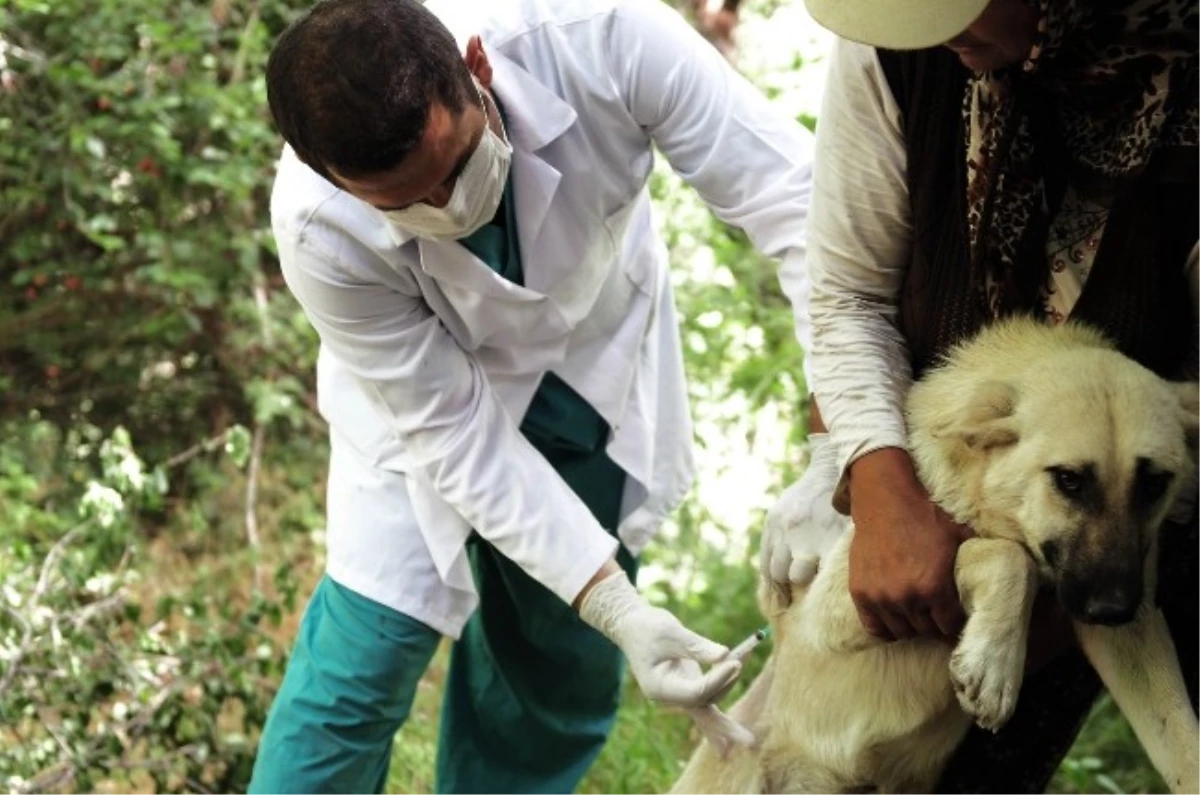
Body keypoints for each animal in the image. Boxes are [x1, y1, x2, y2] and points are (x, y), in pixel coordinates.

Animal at [672, 319, 1200, 795]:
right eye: (1068, 480)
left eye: (1156, 484)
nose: (1115, 609)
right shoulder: (839, 608)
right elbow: (1005, 556)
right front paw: (994, 663)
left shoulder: (1130, 637)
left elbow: (1179, 736)